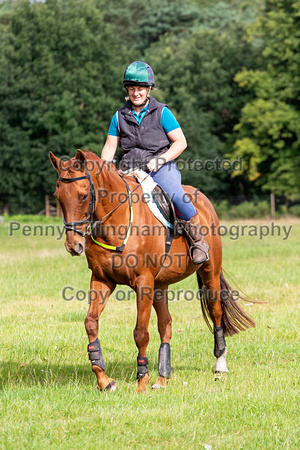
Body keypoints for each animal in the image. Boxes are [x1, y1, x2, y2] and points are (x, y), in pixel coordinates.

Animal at [49, 149, 255, 392]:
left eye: (83, 196)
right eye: (57, 196)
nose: (74, 246)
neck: (116, 223)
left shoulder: (143, 282)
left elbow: (141, 332)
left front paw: (142, 380)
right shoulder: (102, 279)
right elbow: (91, 323)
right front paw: (104, 379)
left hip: (209, 275)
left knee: (216, 313)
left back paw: (219, 365)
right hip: (160, 285)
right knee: (166, 325)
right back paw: (162, 377)